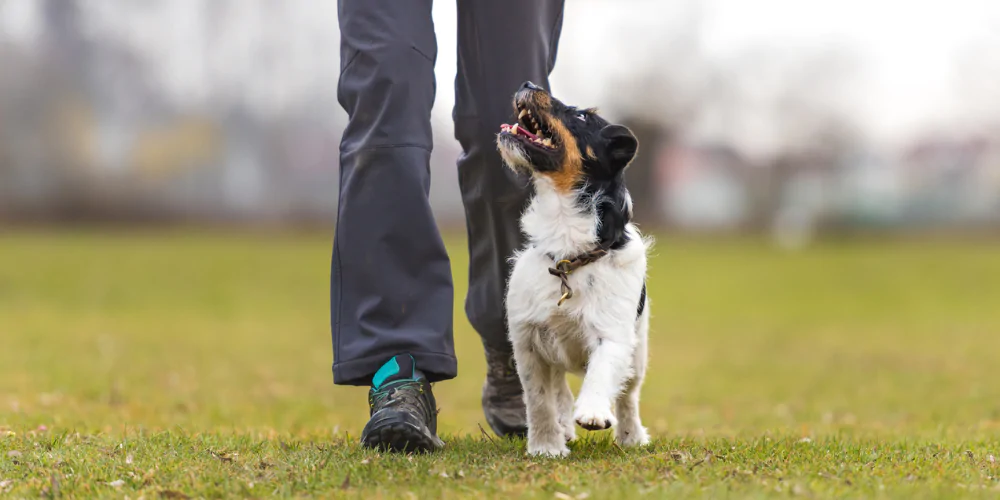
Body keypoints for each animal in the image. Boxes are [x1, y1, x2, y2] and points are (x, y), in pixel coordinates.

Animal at [496, 79, 652, 458]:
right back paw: (565, 427)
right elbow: (539, 401)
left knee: (628, 396)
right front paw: (545, 446)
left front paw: (593, 412)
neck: (569, 253)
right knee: (559, 390)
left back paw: (631, 436)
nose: (528, 83)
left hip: (638, 351)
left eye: (582, 117)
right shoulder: (527, 341)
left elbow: (602, 372)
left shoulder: (613, 334)